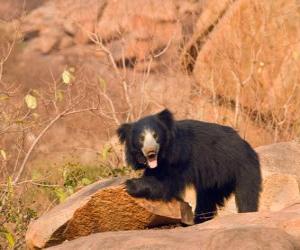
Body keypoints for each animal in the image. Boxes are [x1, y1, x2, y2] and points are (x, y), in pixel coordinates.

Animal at [116, 109, 262, 223]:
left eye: (155, 135)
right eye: (141, 138)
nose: (150, 151)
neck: (163, 155)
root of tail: (246, 145)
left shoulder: (180, 156)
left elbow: (166, 183)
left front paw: (130, 184)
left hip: (242, 167)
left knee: (247, 195)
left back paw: (246, 212)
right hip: (215, 179)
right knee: (207, 199)